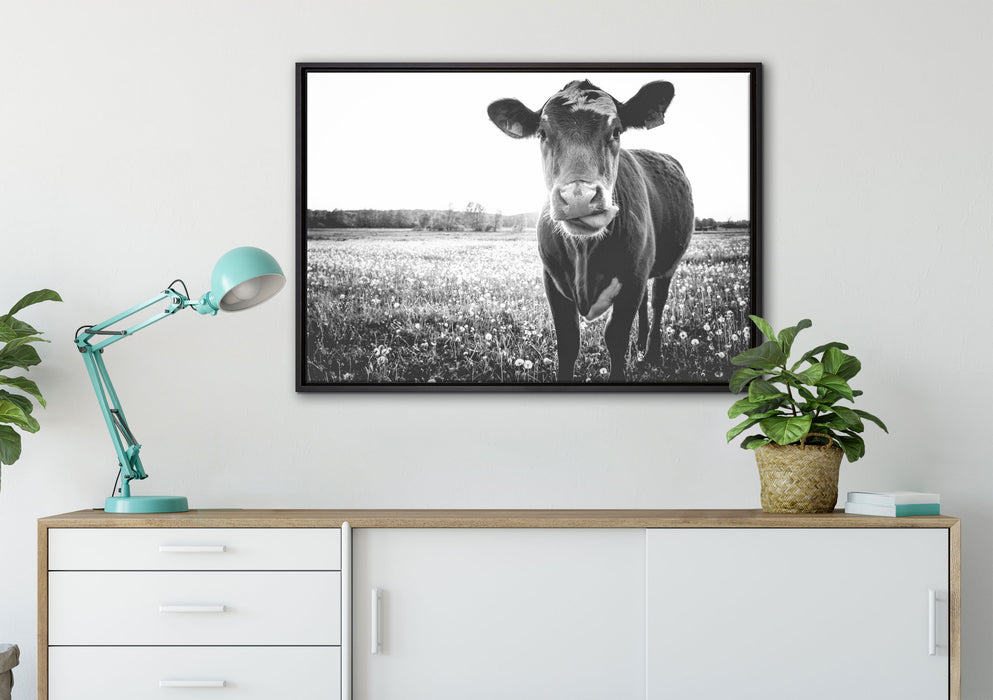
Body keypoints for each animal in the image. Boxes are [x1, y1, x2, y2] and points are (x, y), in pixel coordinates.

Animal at [488, 80, 694, 382]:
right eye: (542, 133)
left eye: (616, 131)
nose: (578, 197)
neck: (585, 253)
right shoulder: (553, 281)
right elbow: (568, 341)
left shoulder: (632, 279)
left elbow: (615, 338)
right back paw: (640, 344)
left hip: (668, 264)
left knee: (657, 301)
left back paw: (651, 353)